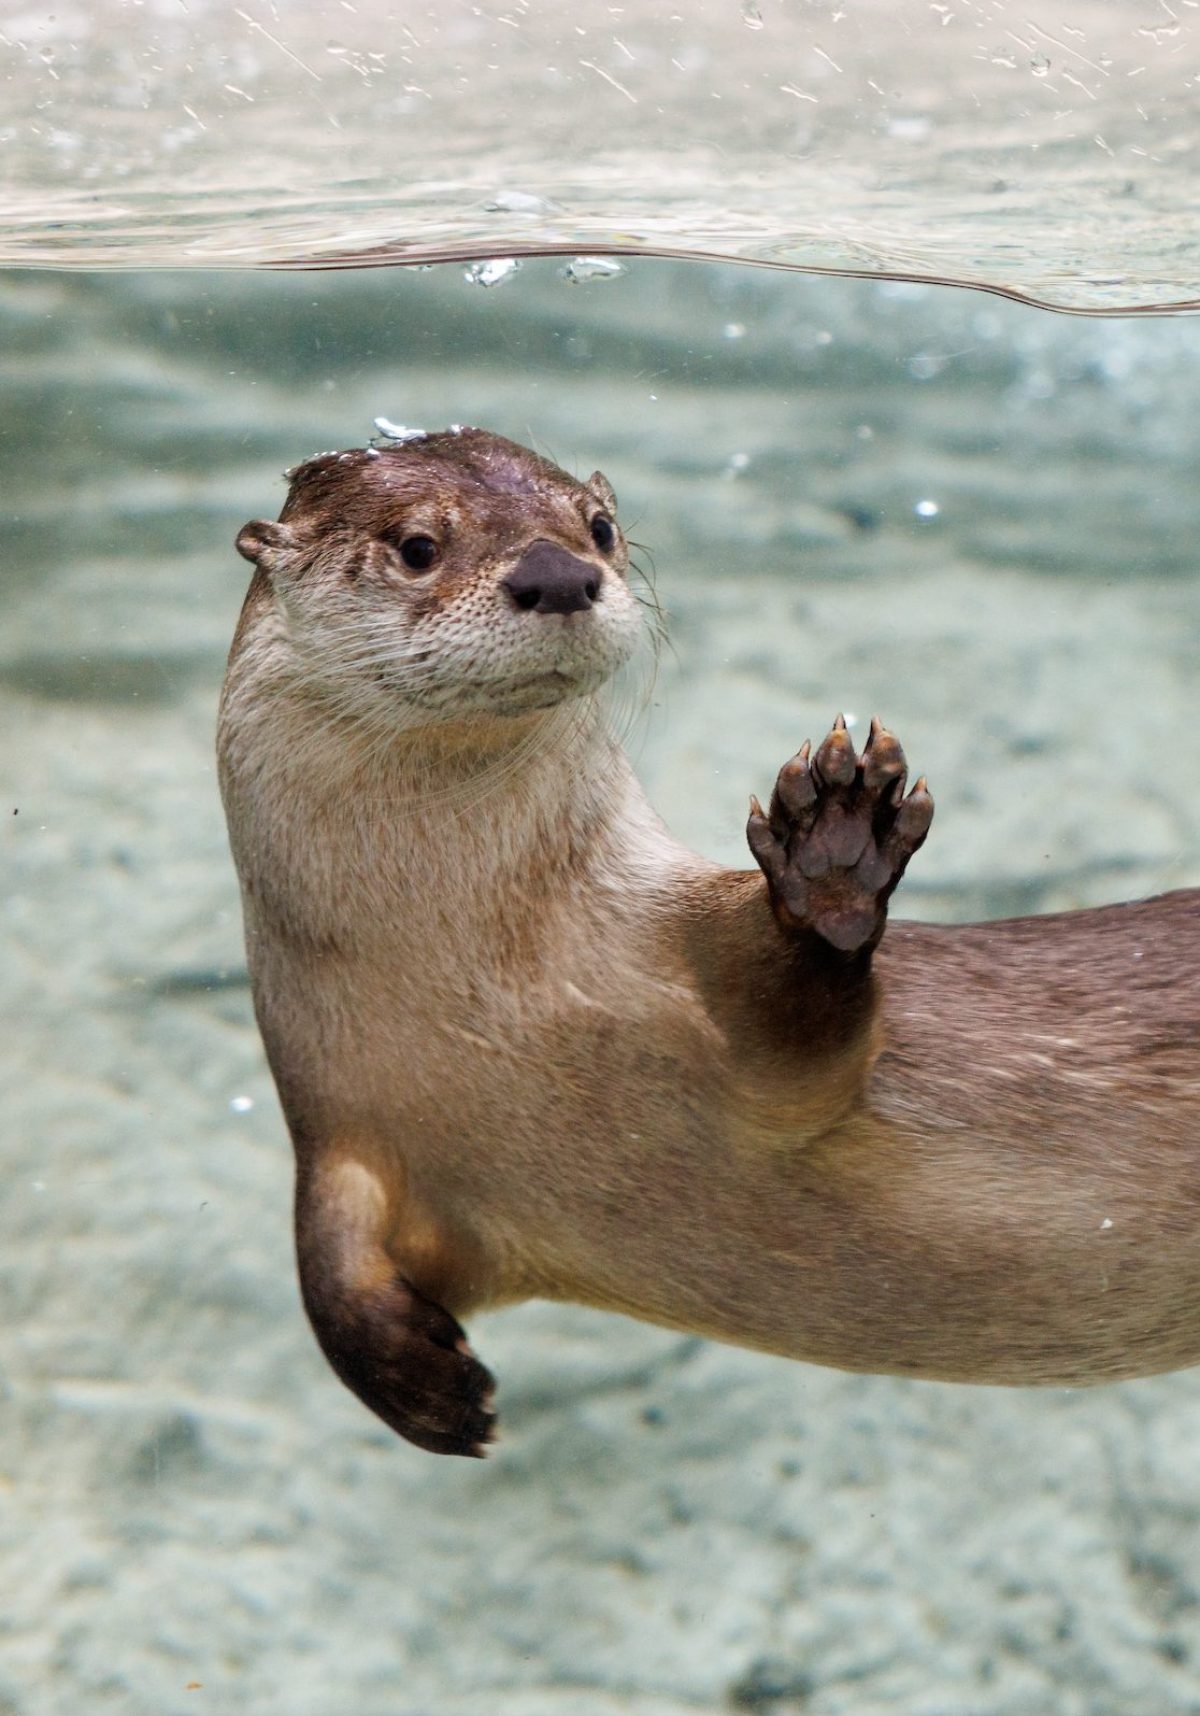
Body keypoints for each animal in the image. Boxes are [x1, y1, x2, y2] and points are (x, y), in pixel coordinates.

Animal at [216, 422, 1200, 1455]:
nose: (558, 574)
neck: (491, 986)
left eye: (599, 526)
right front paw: (431, 1394)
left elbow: (808, 1037)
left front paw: (836, 855)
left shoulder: (725, 1010)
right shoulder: (334, 1127)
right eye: (416, 546)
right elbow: (327, 1268)